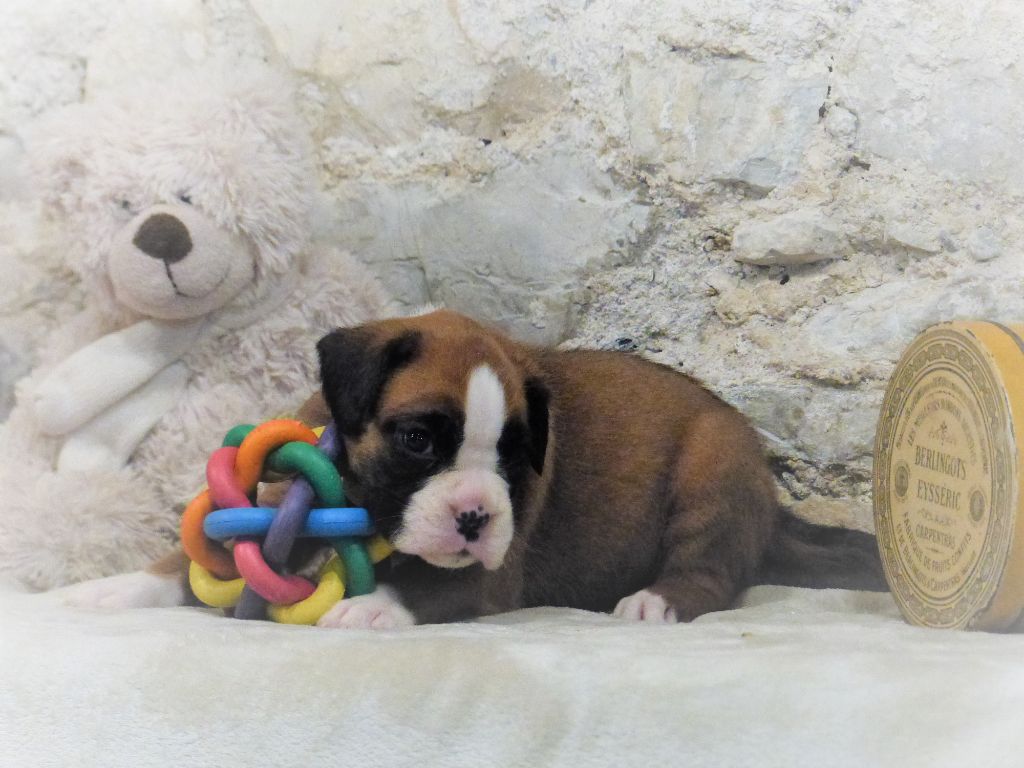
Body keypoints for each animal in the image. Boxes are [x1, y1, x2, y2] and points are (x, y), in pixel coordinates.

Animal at [65, 309, 886, 627]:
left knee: (711, 575)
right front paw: (116, 587)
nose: (474, 515)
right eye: (418, 440)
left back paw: (656, 601)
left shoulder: (486, 578)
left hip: (711, 474)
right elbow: (185, 564)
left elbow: (428, 583)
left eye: (517, 459)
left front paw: (374, 604)